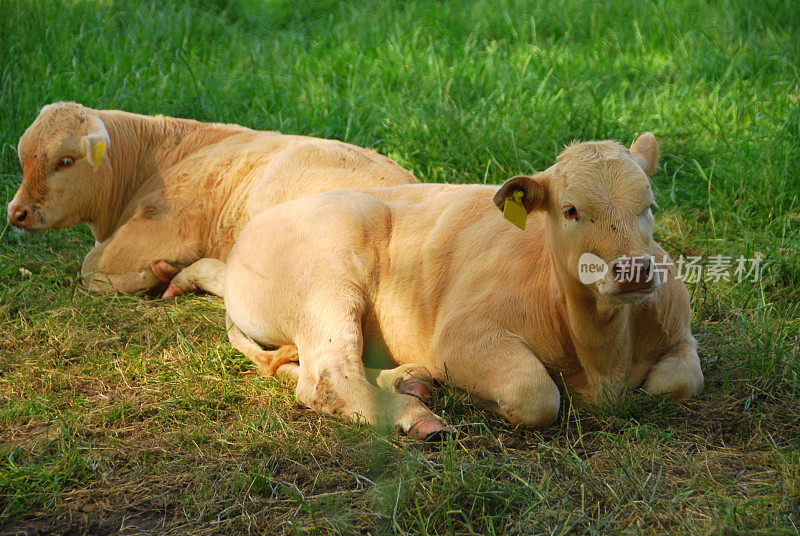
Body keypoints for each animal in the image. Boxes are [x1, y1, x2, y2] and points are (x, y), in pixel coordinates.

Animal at [178, 132, 704, 438]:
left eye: (649, 204)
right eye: (571, 209)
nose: (635, 271)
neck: (601, 352)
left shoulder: (681, 334)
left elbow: (679, 382)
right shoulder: (462, 337)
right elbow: (535, 393)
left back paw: (409, 381)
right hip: (327, 284)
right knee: (326, 376)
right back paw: (416, 416)